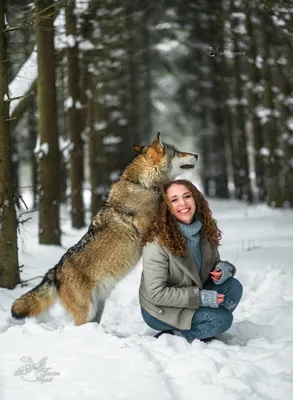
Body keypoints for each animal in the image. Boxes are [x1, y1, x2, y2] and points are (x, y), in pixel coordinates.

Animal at [12, 133, 198, 326]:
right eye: (176, 151)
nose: (197, 155)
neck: (143, 185)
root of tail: (56, 270)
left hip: (97, 309)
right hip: (87, 311)